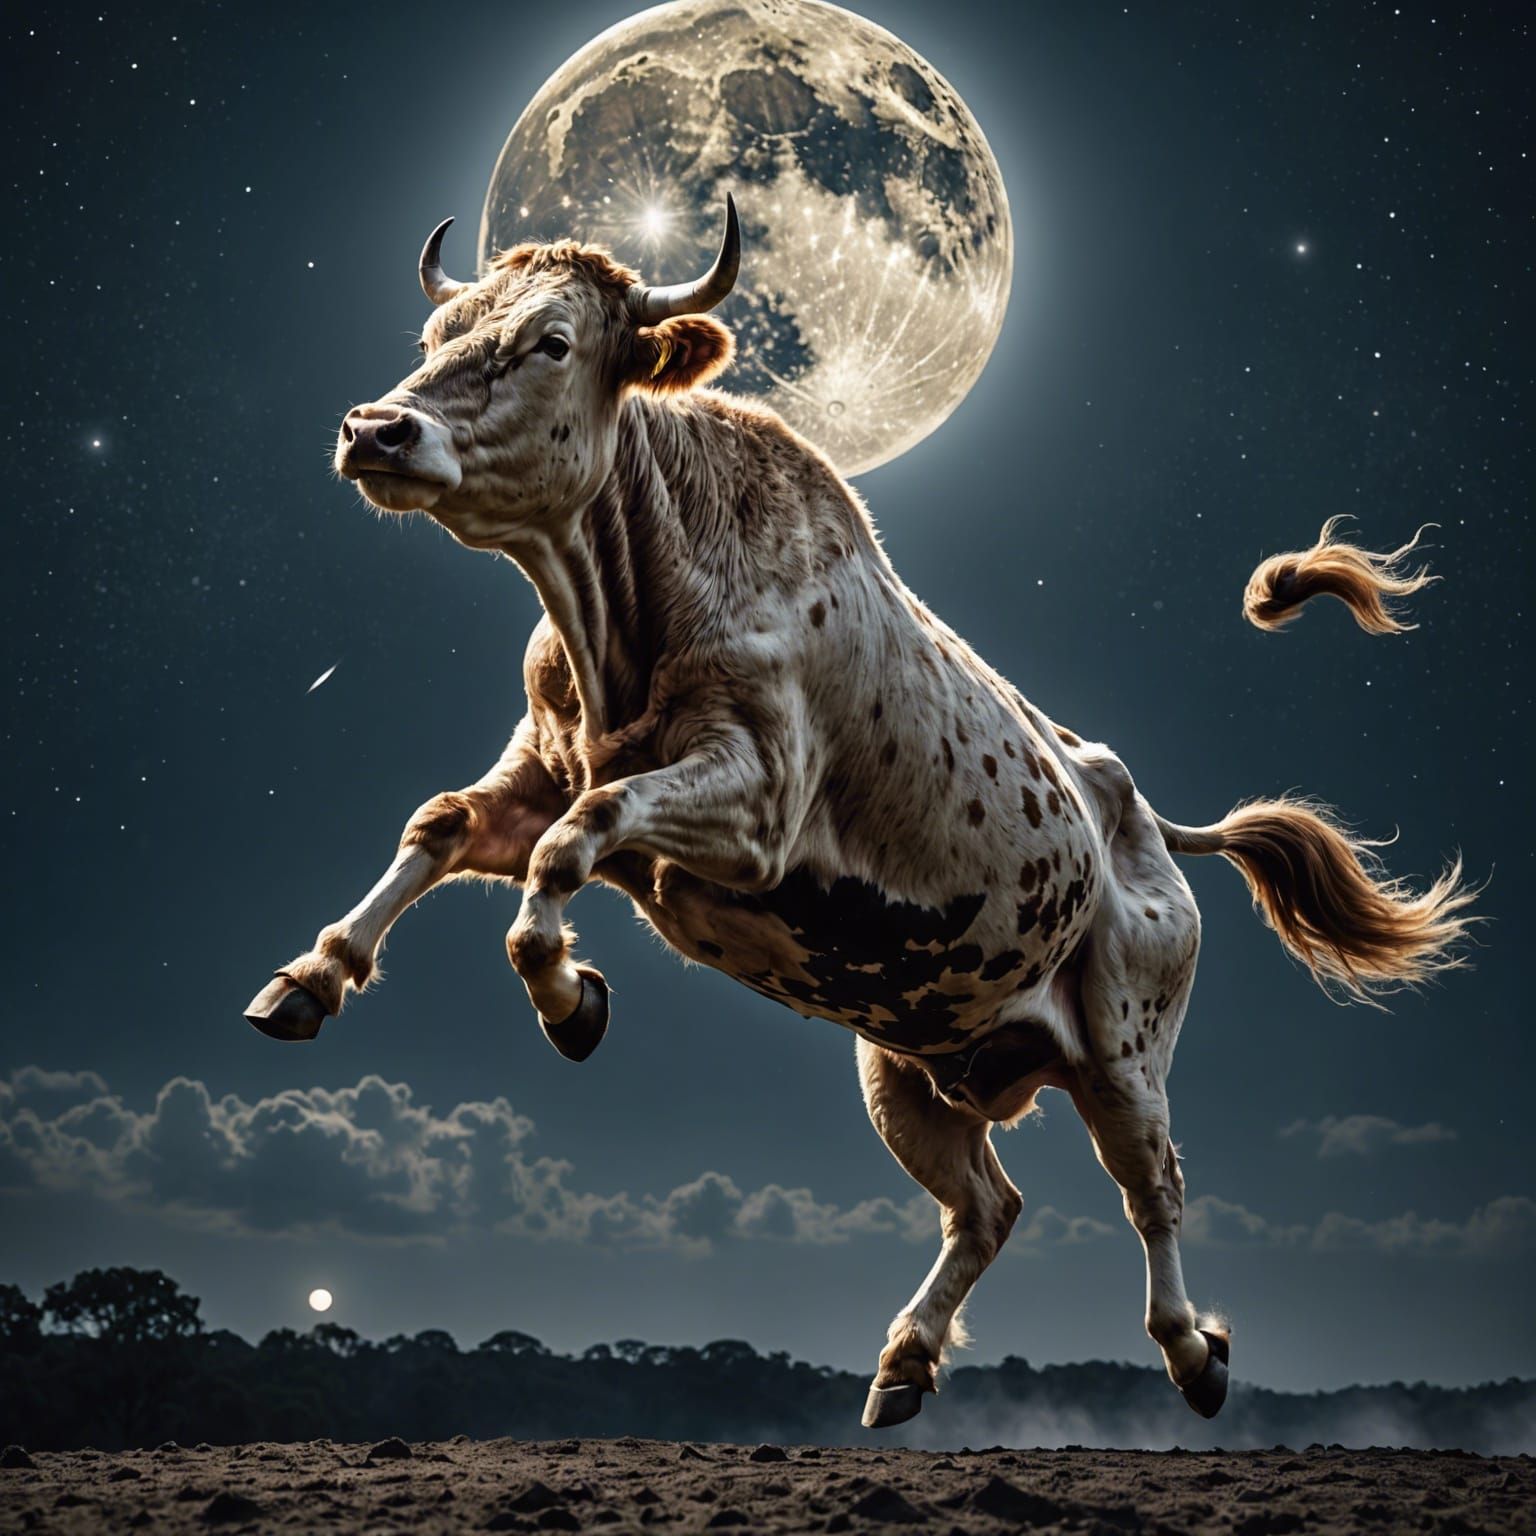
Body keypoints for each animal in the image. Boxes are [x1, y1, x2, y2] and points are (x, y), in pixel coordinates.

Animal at [246, 198, 1474, 1429]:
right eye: (439, 329)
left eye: (552, 340)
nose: (375, 429)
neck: (626, 616)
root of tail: (1140, 814)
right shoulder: (535, 767)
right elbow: (443, 825)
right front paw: (308, 980)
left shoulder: (752, 805)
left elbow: (577, 836)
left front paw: (570, 1000)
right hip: (906, 1066)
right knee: (987, 1205)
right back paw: (904, 1365)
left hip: (1126, 1051)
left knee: (1154, 1192)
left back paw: (1193, 1354)